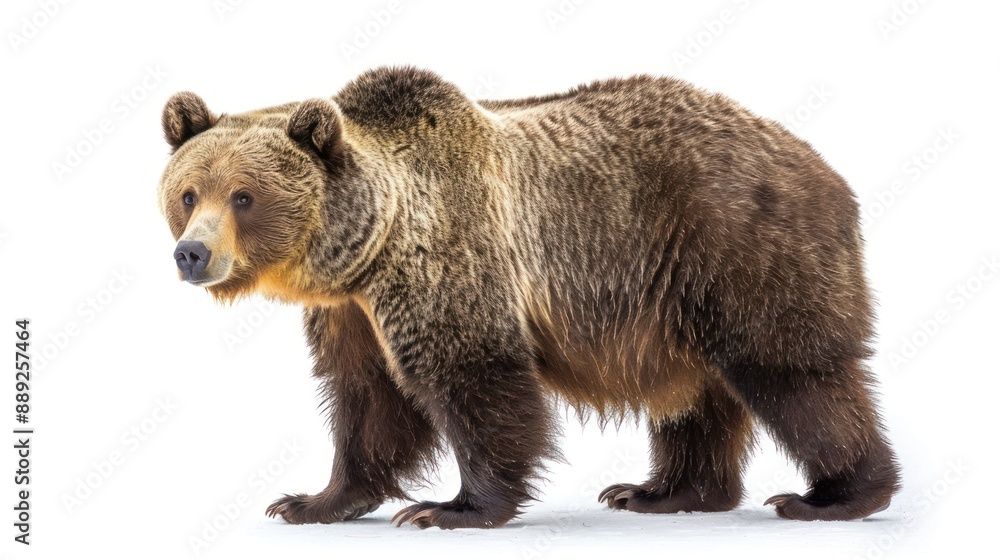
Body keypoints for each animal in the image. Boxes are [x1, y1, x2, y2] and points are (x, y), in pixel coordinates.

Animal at [158, 66, 900, 529]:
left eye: (244, 196)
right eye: (188, 192)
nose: (192, 253)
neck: (362, 252)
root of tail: (826, 168)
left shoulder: (449, 261)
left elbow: (474, 378)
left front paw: (450, 508)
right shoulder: (350, 313)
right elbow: (367, 397)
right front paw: (310, 500)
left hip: (739, 245)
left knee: (795, 374)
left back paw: (835, 496)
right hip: (679, 299)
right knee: (697, 395)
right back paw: (661, 491)